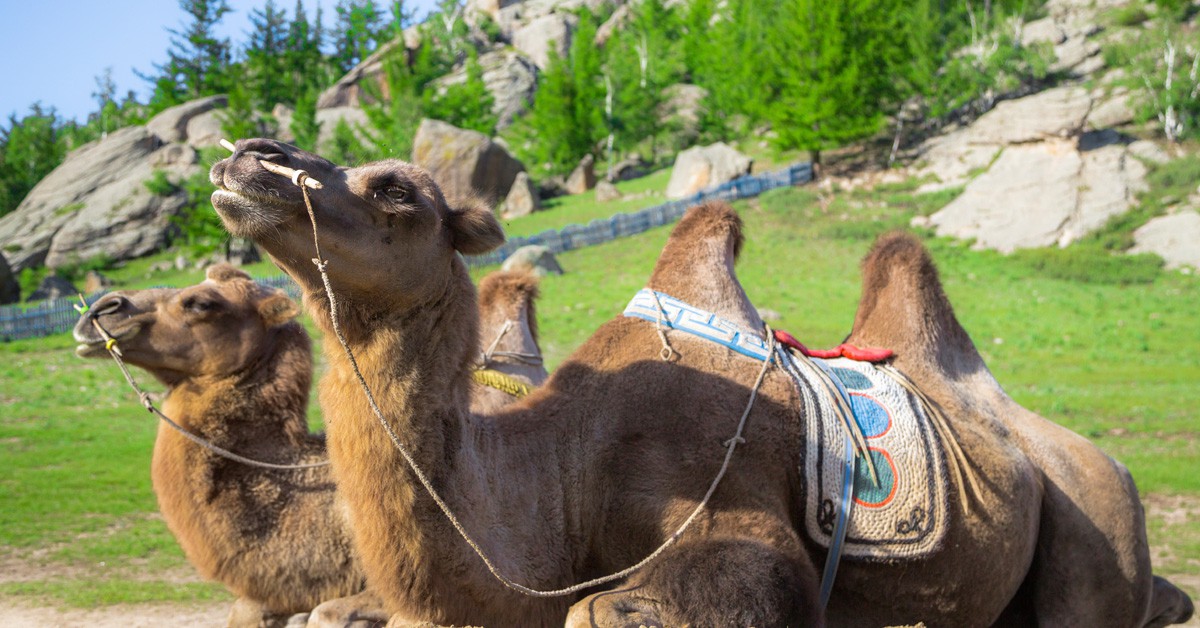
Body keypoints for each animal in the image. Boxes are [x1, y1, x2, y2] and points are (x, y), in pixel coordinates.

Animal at [208, 138, 1194, 627]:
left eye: (397, 192)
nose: (248, 156)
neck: (565, 467)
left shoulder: (732, 513)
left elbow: (606, 611)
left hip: (1096, 530)